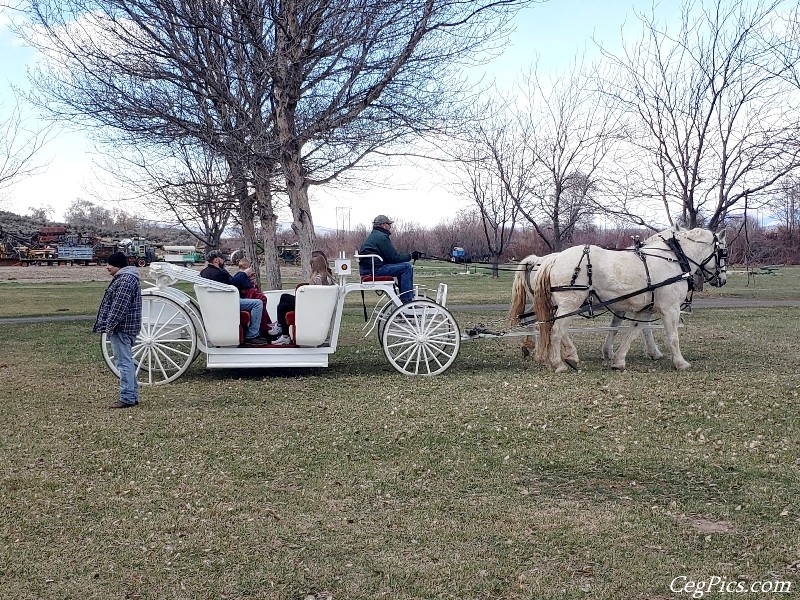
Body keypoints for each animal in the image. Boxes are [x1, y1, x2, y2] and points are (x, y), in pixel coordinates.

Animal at [536, 229, 728, 370]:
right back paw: (558, 364)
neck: (674, 259)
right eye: (724, 252)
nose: (722, 280)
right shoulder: (671, 309)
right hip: (570, 304)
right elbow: (673, 336)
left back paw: (570, 357)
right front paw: (680, 363)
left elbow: (632, 333)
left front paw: (618, 360)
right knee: (556, 331)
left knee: (558, 330)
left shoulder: (645, 309)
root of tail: (555, 258)